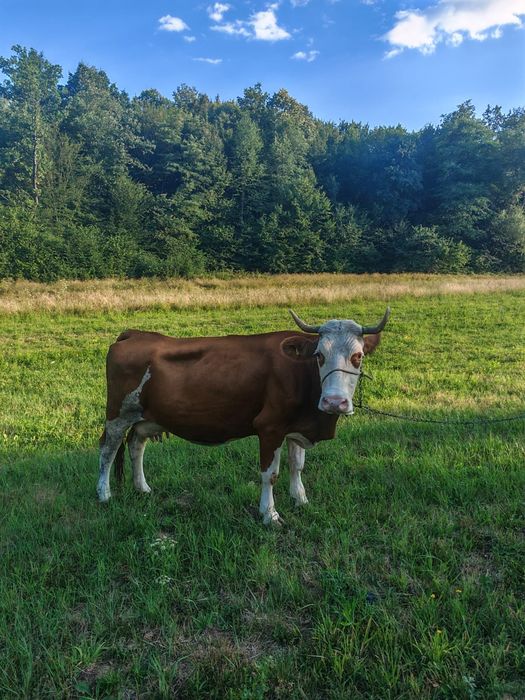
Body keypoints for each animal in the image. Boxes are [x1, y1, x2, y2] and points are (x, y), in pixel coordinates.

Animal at [97, 308, 390, 524]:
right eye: (319, 355)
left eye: (358, 356)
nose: (334, 402)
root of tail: (134, 334)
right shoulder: (270, 427)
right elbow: (270, 474)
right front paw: (270, 514)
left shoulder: (296, 427)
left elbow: (297, 466)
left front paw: (301, 500)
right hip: (118, 414)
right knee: (107, 449)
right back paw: (104, 494)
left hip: (146, 417)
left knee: (136, 446)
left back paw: (142, 488)